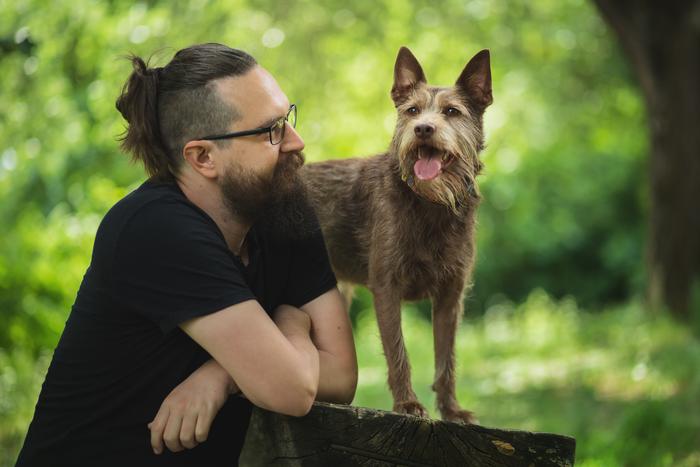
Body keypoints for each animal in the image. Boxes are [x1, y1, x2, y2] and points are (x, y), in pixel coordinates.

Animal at [300, 46, 492, 424]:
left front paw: (451, 409)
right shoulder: (386, 287)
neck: (429, 203)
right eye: (412, 110)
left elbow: (446, 359)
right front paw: (407, 404)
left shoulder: (450, 296)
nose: (423, 129)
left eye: (452, 111)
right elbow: (398, 351)